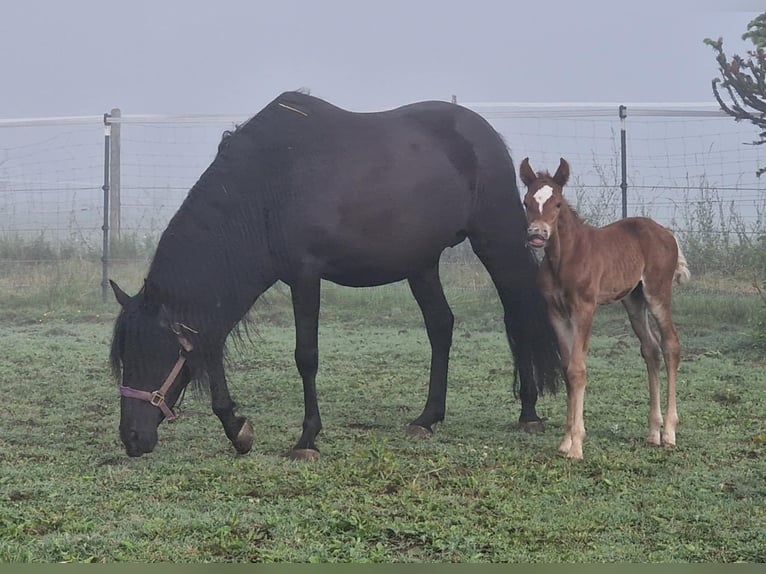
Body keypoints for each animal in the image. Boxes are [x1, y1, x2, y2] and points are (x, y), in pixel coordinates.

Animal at [108, 90, 563, 459]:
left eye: (150, 353)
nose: (131, 438)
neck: (264, 188)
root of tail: (481, 132)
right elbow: (212, 351)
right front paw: (237, 429)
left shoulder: (305, 277)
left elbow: (305, 356)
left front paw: (307, 439)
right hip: (422, 262)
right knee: (441, 325)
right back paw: (427, 418)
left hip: (495, 241)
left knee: (518, 313)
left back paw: (528, 412)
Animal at [519, 157, 690, 460]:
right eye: (527, 202)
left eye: (558, 203)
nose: (537, 235)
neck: (564, 258)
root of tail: (668, 233)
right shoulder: (556, 313)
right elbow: (567, 368)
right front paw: (565, 442)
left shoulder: (585, 308)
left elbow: (578, 369)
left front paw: (576, 445)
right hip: (633, 300)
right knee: (651, 349)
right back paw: (652, 433)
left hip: (657, 293)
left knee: (671, 344)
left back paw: (669, 433)